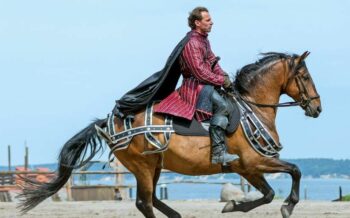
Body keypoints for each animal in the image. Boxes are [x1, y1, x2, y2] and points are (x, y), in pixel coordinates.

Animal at [17, 51, 322, 218]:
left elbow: (269, 193)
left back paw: (176, 214)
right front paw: (287, 206)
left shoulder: (246, 168)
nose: (317, 107)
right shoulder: (253, 163)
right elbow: (294, 171)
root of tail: (112, 122)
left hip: (154, 166)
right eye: (306, 77)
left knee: (152, 199)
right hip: (142, 166)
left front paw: (232, 205)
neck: (251, 109)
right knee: (144, 202)